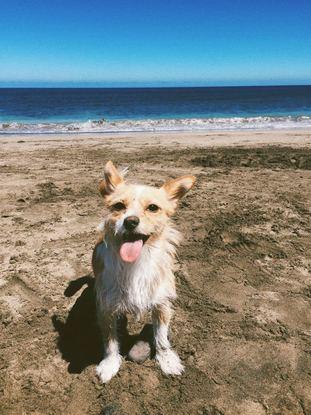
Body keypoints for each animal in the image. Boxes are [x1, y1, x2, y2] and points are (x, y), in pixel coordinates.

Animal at [91, 160, 196, 384]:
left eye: (153, 208)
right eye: (118, 206)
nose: (130, 221)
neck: (137, 263)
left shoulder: (162, 304)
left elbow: (161, 337)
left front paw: (167, 361)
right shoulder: (106, 308)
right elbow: (110, 340)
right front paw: (110, 364)